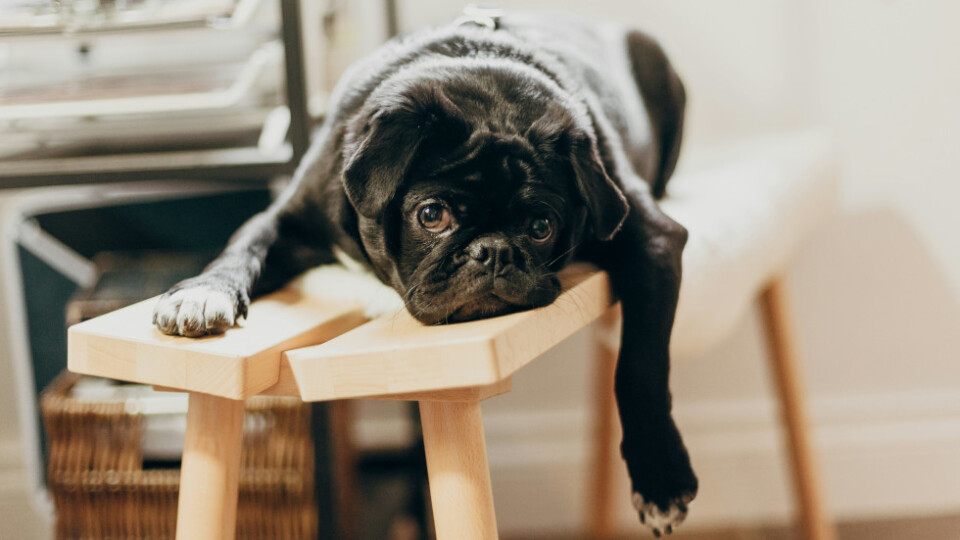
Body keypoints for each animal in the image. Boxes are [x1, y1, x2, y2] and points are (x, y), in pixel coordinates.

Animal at [156, 8, 696, 536]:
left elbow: (641, 365)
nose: (493, 251)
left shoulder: (652, 240)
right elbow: (242, 247)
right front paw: (202, 293)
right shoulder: (283, 219)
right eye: (432, 215)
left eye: (541, 226)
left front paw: (660, 475)